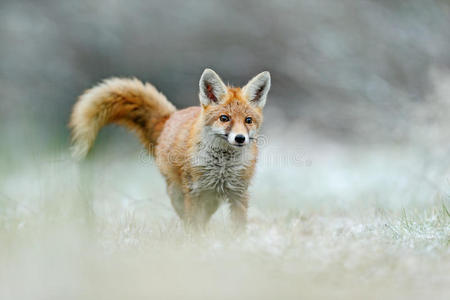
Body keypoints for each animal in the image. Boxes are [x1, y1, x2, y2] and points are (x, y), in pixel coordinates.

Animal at [68, 69, 268, 229]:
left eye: (248, 120)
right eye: (224, 118)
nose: (240, 138)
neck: (222, 166)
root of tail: (170, 117)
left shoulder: (239, 194)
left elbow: (238, 228)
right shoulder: (194, 192)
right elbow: (194, 225)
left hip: (212, 200)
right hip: (179, 194)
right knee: (188, 219)